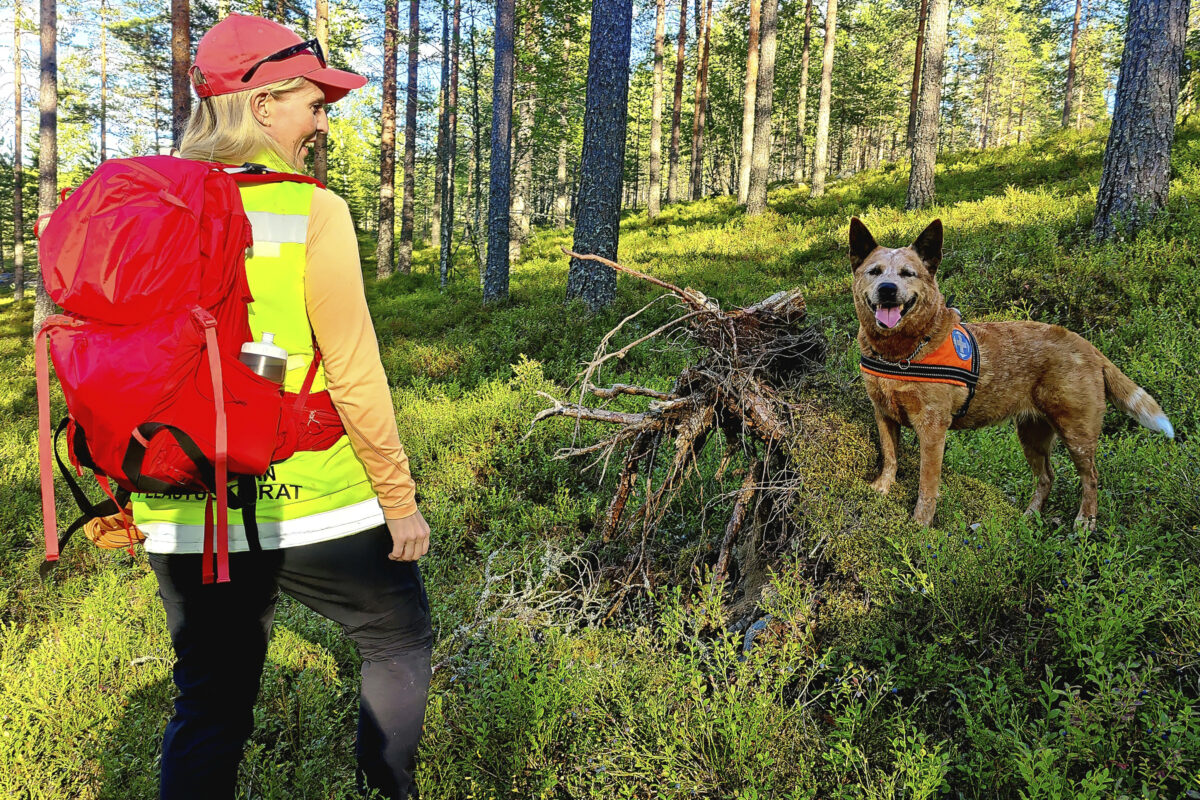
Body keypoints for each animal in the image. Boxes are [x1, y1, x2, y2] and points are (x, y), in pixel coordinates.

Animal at [849, 215, 1176, 527]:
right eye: (875, 271)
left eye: (908, 273)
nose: (887, 290)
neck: (900, 352)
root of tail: (1088, 346)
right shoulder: (883, 413)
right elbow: (890, 456)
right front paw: (881, 489)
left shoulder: (932, 427)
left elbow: (927, 485)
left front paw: (920, 525)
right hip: (1031, 434)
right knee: (1047, 477)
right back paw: (1030, 516)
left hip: (1077, 434)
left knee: (1091, 477)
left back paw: (1085, 522)